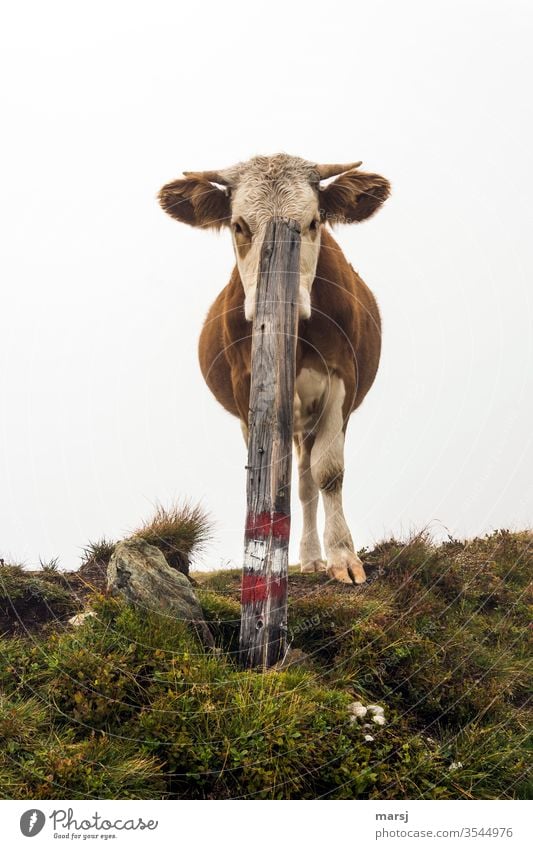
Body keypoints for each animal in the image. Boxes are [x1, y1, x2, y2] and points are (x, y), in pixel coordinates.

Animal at [157, 154, 386, 584]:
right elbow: (265, 476)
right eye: (239, 225)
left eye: (313, 222)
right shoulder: (245, 387)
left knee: (308, 481)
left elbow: (329, 472)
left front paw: (342, 557)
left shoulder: (340, 381)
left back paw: (313, 557)